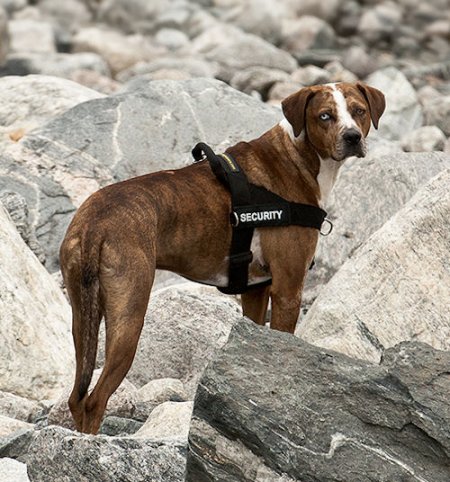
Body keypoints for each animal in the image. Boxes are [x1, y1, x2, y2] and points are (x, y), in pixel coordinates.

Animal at [59, 82, 384, 434]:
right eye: (325, 116)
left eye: (359, 111)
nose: (352, 137)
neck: (297, 156)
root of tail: (95, 222)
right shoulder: (288, 290)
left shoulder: (256, 289)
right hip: (128, 318)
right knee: (95, 399)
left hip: (83, 318)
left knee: (76, 396)